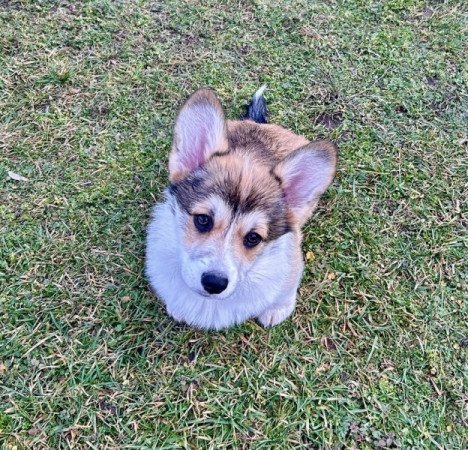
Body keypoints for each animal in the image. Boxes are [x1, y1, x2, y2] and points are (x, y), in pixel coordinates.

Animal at [146, 86, 336, 328]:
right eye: (203, 220)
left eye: (253, 238)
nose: (214, 283)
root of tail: (258, 123)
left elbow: (285, 291)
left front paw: (276, 310)